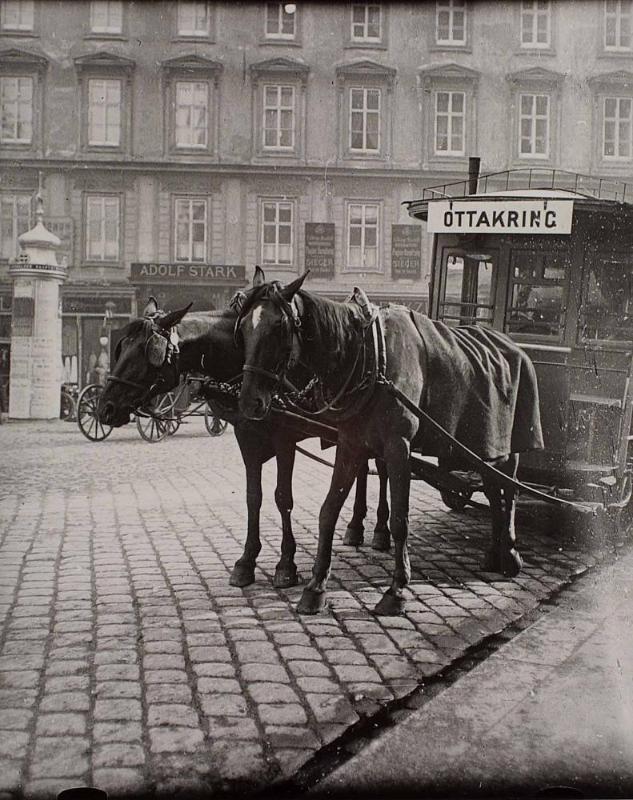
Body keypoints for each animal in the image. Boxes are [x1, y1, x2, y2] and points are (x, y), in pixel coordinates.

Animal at [237, 272, 544, 616]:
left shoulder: (399, 448)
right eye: (244, 325)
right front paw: (315, 586)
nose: (249, 402)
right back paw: (494, 553)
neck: (370, 355)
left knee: (508, 490)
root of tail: (513, 344)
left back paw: (511, 553)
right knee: (492, 489)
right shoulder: (351, 443)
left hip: (510, 446)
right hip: (483, 448)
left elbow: (400, 520)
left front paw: (396, 589)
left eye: (279, 326)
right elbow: (328, 510)